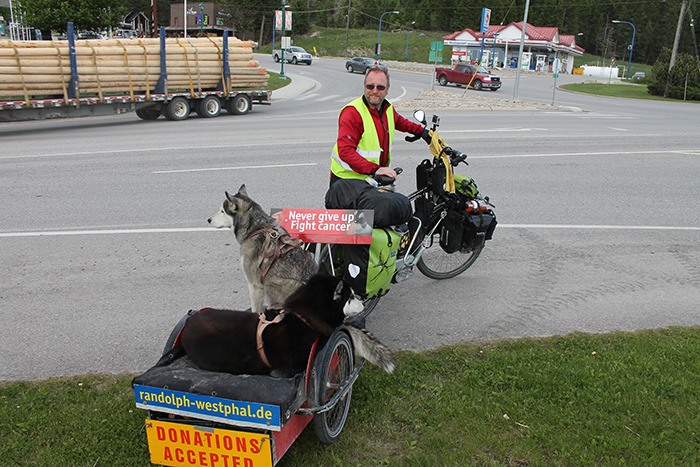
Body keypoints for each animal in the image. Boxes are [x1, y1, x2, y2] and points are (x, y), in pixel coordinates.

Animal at [206, 186, 318, 314]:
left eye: (222, 211)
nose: (208, 219)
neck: (256, 228)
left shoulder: (254, 285)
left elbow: (255, 309)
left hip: (272, 285)